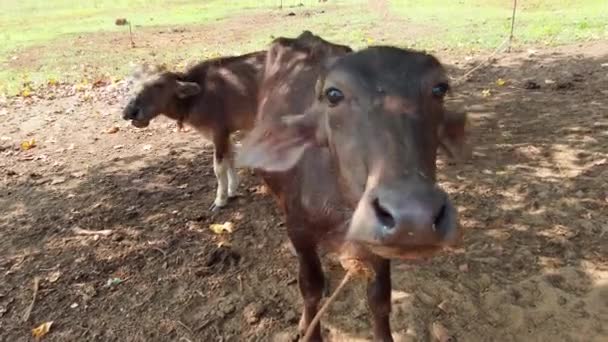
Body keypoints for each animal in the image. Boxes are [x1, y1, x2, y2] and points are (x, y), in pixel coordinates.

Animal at [121, 50, 266, 210]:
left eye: (158, 85)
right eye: (132, 83)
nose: (130, 112)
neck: (195, 99)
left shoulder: (218, 132)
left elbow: (219, 168)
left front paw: (220, 200)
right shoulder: (225, 134)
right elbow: (231, 158)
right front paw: (231, 191)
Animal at [238, 30, 466, 340]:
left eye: (440, 88)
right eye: (333, 94)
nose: (414, 219)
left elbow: (379, 298)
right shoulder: (299, 231)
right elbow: (310, 289)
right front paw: (309, 328)